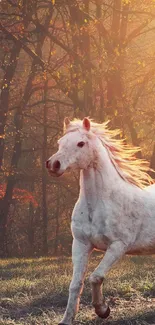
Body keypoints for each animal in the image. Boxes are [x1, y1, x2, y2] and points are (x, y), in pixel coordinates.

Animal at [46, 117, 155, 324]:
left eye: (81, 143)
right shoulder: (81, 244)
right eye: (60, 142)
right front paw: (66, 319)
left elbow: (95, 277)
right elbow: (75, 284)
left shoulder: (118, 246)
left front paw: (102, 310)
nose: (53, 164)